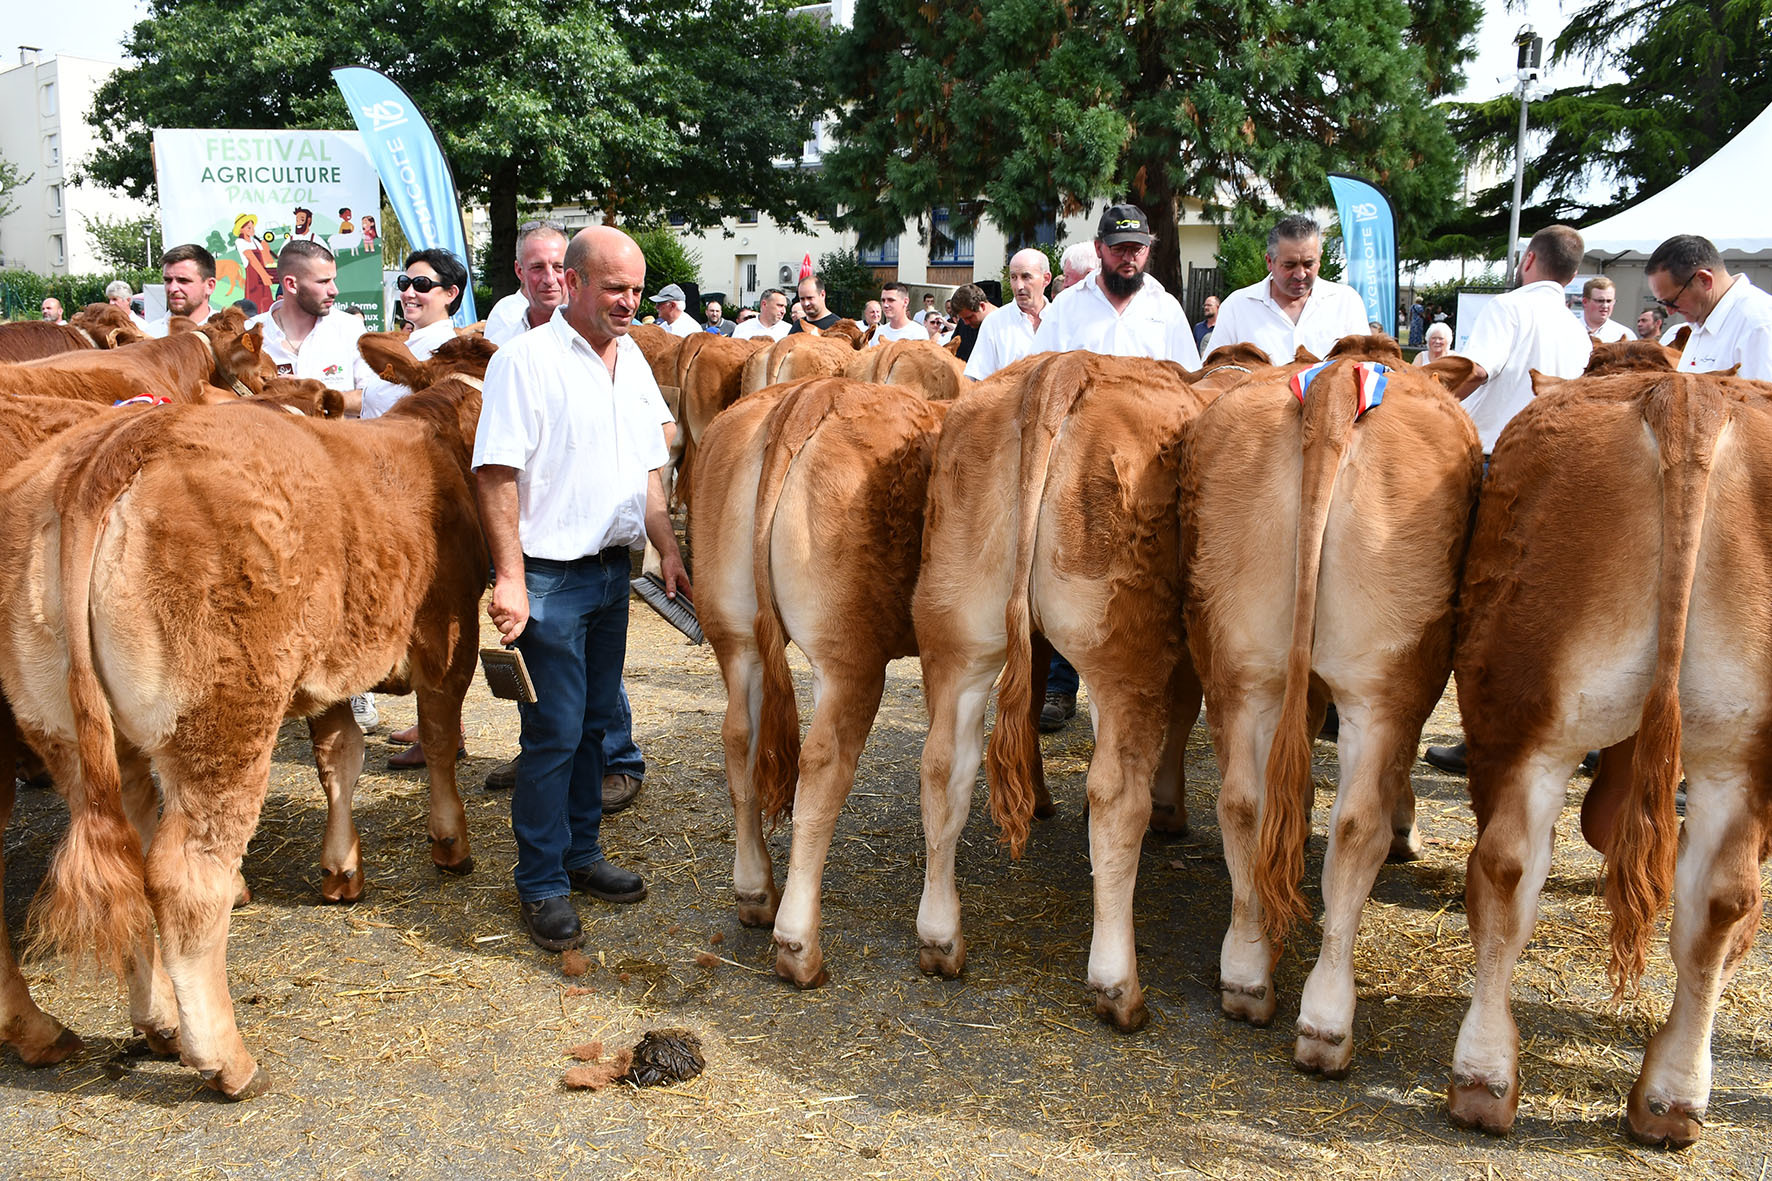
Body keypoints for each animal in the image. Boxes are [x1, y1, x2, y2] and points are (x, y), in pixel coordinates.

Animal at [0, 335, 492, 1092]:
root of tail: (118, 445)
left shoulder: (326, 669)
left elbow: (339, 757)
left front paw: (340, 870)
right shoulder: (447, 635)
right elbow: (439, 740)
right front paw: (449, 843)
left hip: (74, 735)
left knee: (127, 863)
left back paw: (155, 1023)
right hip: (223, 720)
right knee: (183, 878)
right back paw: (224, 1059)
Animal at [687, 377, 949, 985]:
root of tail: (812, 394)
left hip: (736, 639)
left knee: (739, 741)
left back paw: (755, 892)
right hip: (849, 659)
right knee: (823, 764)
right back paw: (799, 945)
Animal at [914, 349, 1204, 1028]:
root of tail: (1063, 368)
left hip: (957, 633)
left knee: (945, 767)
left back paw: (940, 941)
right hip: (1128, 654)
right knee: (1116, 794)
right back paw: (1119, 988)